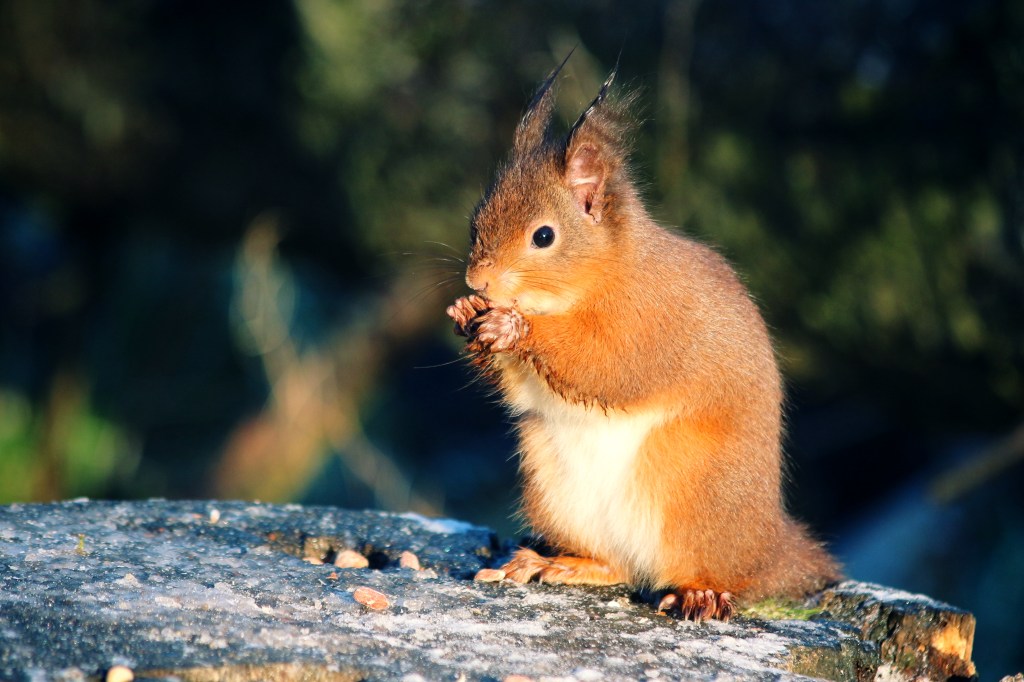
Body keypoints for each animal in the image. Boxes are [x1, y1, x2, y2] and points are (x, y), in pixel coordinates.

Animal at [446, 58, 841, 621]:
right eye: (476, 217)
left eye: (543, 236)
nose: (477, 281)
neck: (602, 275)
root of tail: (767, 551)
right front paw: (466, 314)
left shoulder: (650, 324)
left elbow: (605, 364)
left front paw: (513, 326)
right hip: (556, 488)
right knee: (618, 565)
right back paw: (557, 564)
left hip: (693, 494)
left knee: (707, 572)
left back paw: (700, 593)